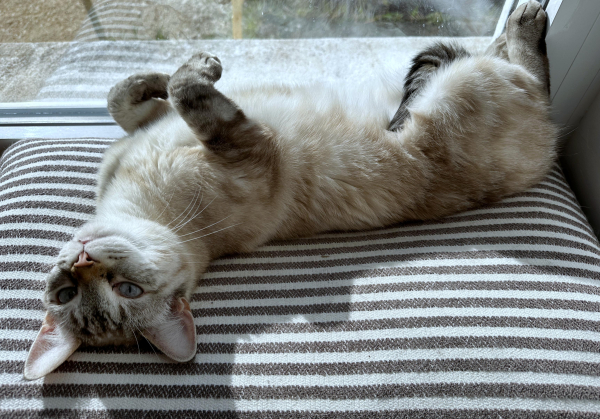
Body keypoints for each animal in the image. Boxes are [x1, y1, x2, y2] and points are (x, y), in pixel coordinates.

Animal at [24, 0, 556, 380]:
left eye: (66, 292)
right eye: (121, 293)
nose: (81, 261)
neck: (133, 204)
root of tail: (543, 161)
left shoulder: (158, 132)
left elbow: (131, 95)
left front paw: (165, 71)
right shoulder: (247, 147)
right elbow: (185, 89)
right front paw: (200, 64)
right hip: (471, 87)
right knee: (531, 78)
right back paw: (526, 21)